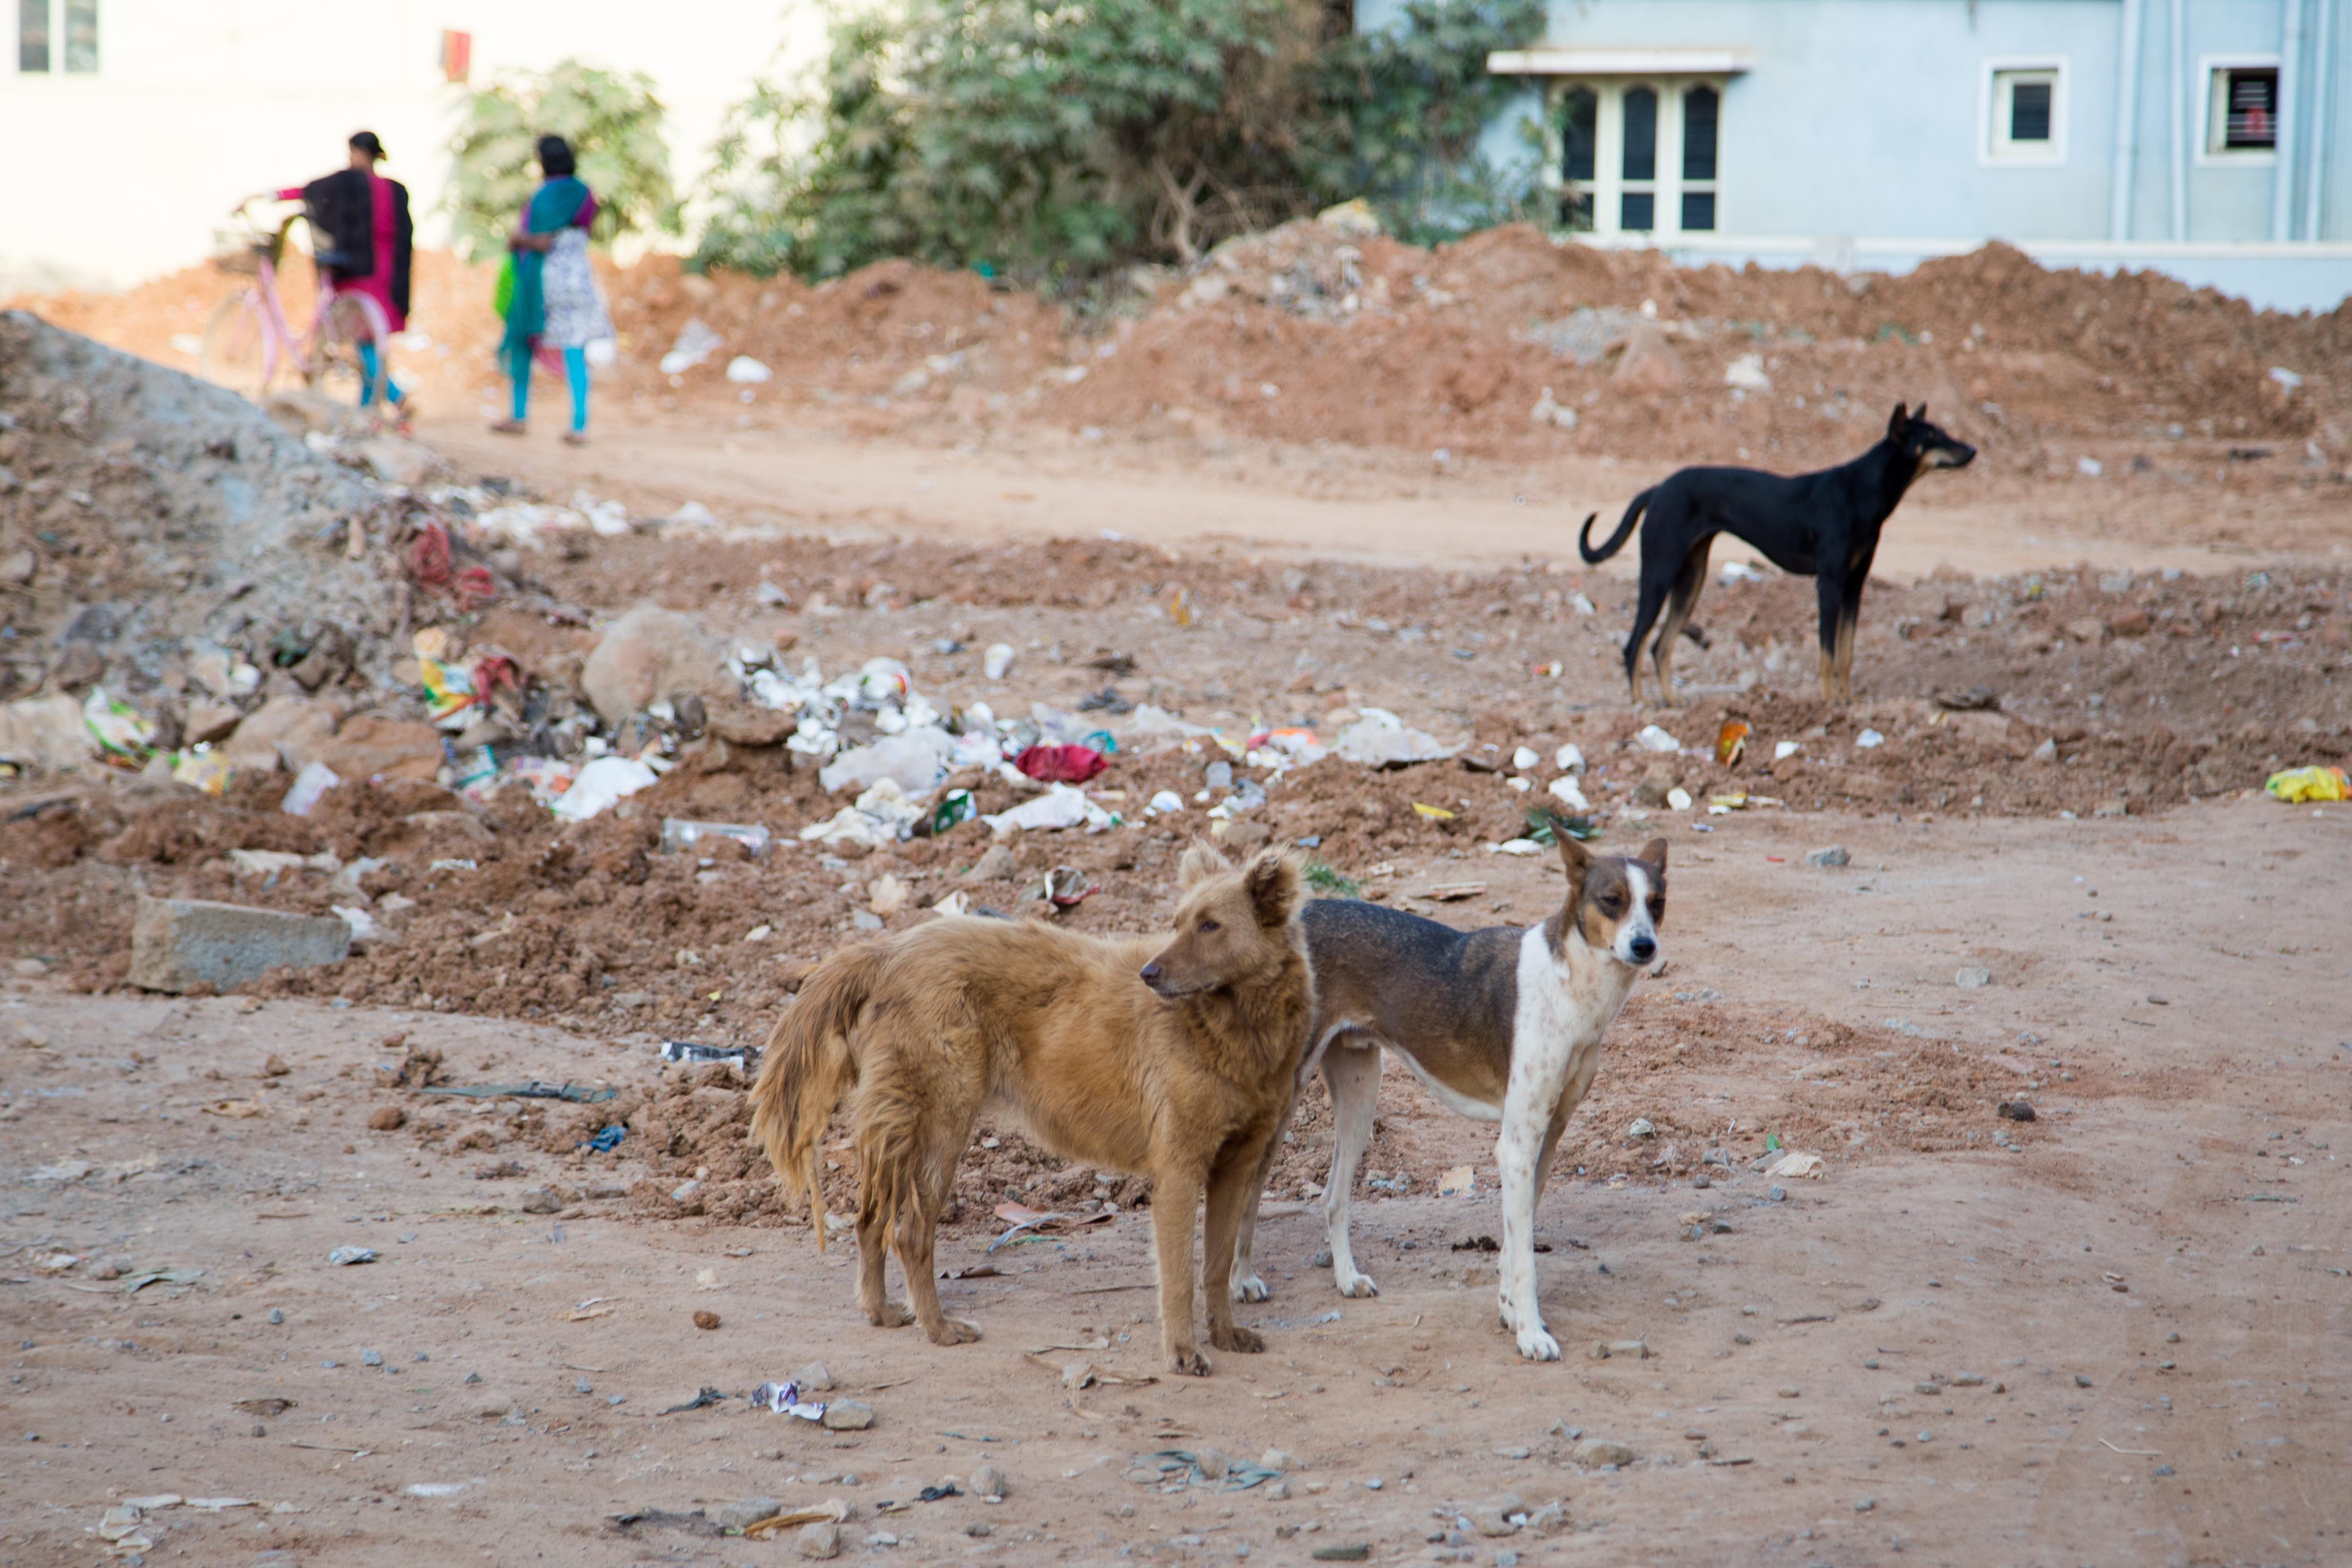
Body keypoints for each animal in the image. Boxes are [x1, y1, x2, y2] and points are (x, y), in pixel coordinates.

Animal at [749, 843, 1313, 1377]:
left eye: (1210, 925)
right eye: (1176, 923)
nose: (1149, 974)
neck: (1235, 1028)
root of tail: (888, 949)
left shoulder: (1236, 1165)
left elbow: (1216, 1264)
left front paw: (1226, 1334)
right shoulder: (1179, 1167)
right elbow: (1178, 1276)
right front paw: (1183, 1352)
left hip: (904, 1128)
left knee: (871, 1220)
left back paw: (882, 1311)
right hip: (942, 1127)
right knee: (910, 1233)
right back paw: (939, 1328)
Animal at [1230, 830, 1666, 1361]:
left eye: (1657, 903)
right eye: (1612, 900)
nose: (1645, 946)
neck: (1571, 988)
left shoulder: (1545, 1139)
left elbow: (1514, 1241)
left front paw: (1508, 1311)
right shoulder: (1517, 1146)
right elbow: (1525, 1257)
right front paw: (1531, 1333)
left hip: (1360, 1095)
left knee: (1333, 1197)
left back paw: (1347, 1279)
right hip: (1284, 1097)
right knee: (1248, 1192)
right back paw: (1242, 1281)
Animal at [1578, 402, 1976, 705]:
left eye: (1942, 431)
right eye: (1930, 437)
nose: (1972, 451)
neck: (1862, 491)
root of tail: (1658, 488)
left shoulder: (1855, 586)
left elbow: (1846, 654)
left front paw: (1848, 702)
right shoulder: (1830, 584)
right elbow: (1827, 654)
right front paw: (1830, 704)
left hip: (1691, 580)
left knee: (1660, 646)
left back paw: (1672, 704)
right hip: (1659, 574)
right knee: (1633, 646)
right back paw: (1640, 706)